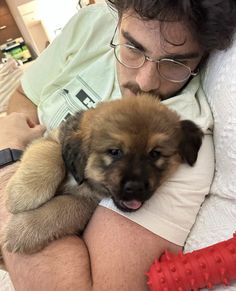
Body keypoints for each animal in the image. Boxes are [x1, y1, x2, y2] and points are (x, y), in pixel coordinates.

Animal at [1, 94, 203, 254]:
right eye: (114, 152)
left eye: (155, 154)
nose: (136, 188)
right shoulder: (51, 139)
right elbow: (49, 153)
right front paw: (22, 196)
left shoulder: (85, 201)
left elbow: (59, 211)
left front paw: (19, 232)